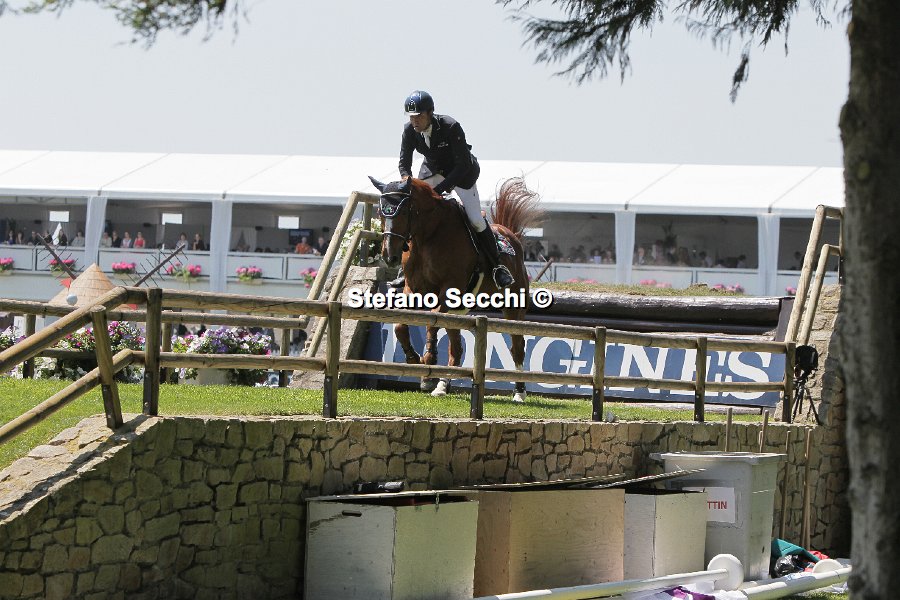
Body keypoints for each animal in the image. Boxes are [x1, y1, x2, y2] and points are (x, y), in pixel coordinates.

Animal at [367, 175, 543, 403]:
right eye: (381, 213)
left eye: (404, 212)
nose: (390, 256)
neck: (428, 236)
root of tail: (509, 234)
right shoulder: (413, 289)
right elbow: (400, 325)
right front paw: (414, 358)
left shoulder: (450, 290)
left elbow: (432, 321)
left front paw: (428, 361)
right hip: (460, 310)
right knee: (456, 350)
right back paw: (442, 386)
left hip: (513, 306)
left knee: (517, 346)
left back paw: (519, 392)